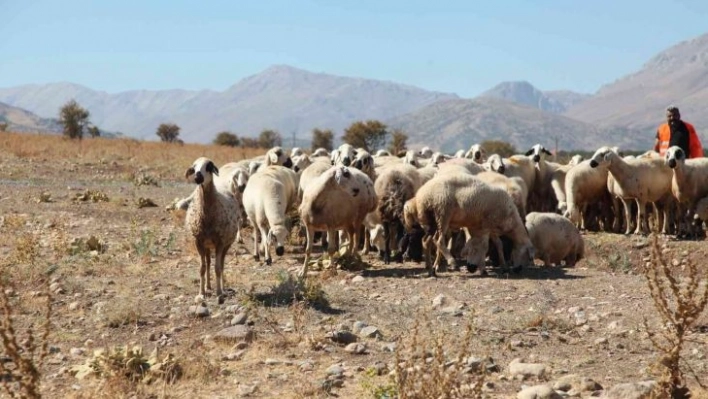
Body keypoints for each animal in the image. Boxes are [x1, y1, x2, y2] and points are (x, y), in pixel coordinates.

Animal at [185, 157, 241, 304]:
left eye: (209, 167)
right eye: (194, 167)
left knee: (221, 264)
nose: (198, 177)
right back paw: (208, 286)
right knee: (208, 263)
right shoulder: (198, 241)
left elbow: (218, 268)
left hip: (227, 243)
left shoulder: (220, 242)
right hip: (207, 245)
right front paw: (201, 293)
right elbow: (202, 268)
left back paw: (221, 288)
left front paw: (219, 293)